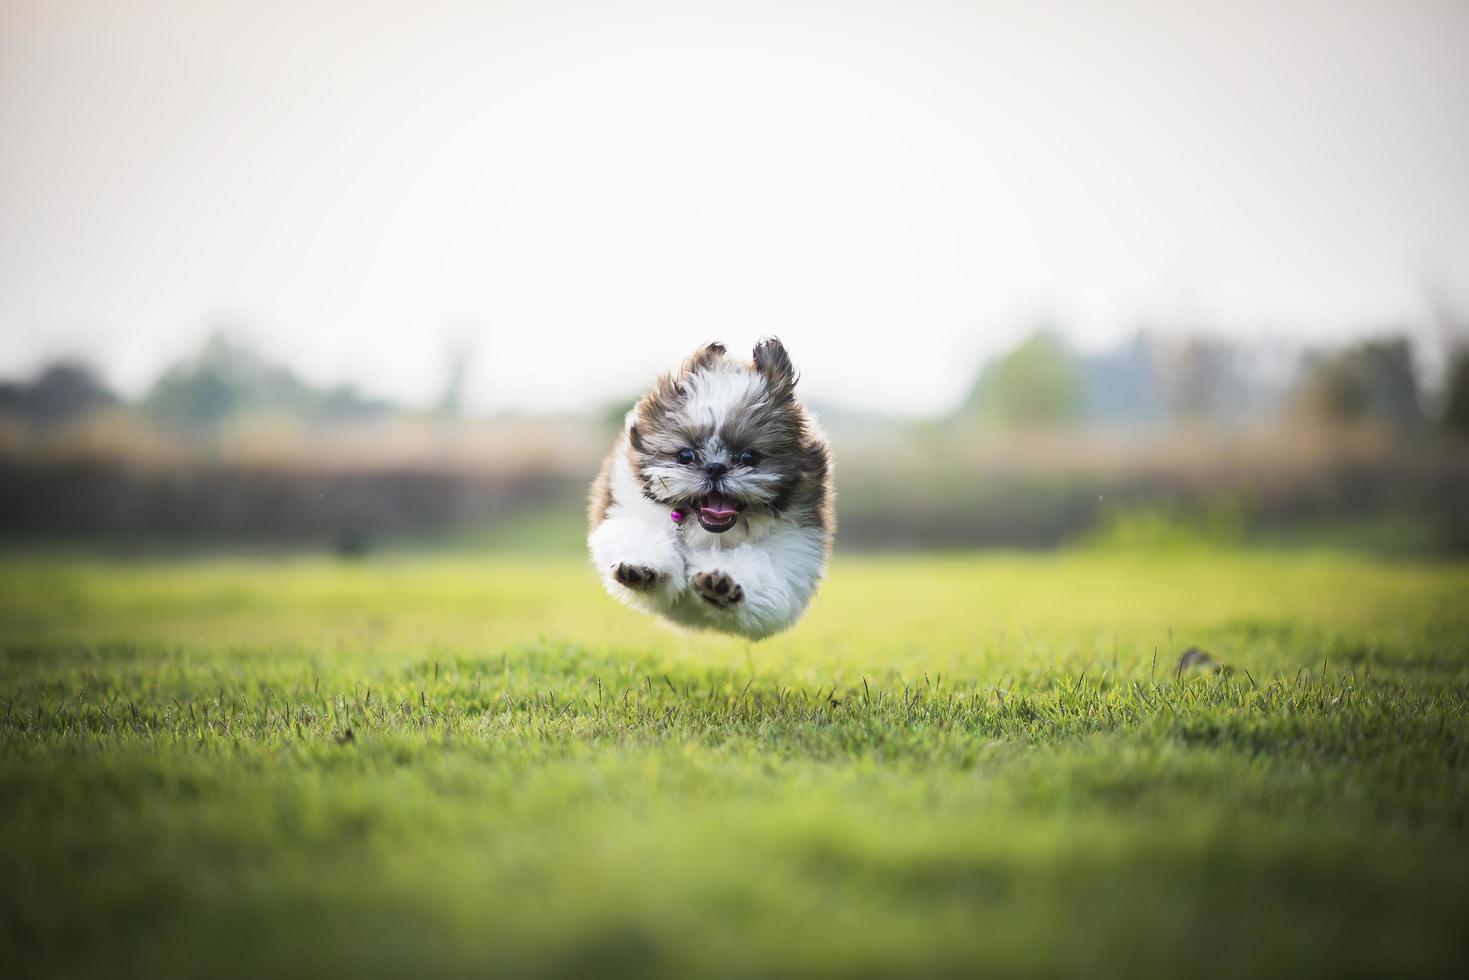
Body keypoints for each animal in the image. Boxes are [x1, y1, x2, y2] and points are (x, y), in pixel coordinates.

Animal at [587, 340, 840, 640]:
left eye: (749, 457)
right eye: (685, 456)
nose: (715, 468)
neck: (709, 537)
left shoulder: (793, 549)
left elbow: (761, 570)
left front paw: (721, 584)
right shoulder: (630, 510)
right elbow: (640, 536)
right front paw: (640, 566)